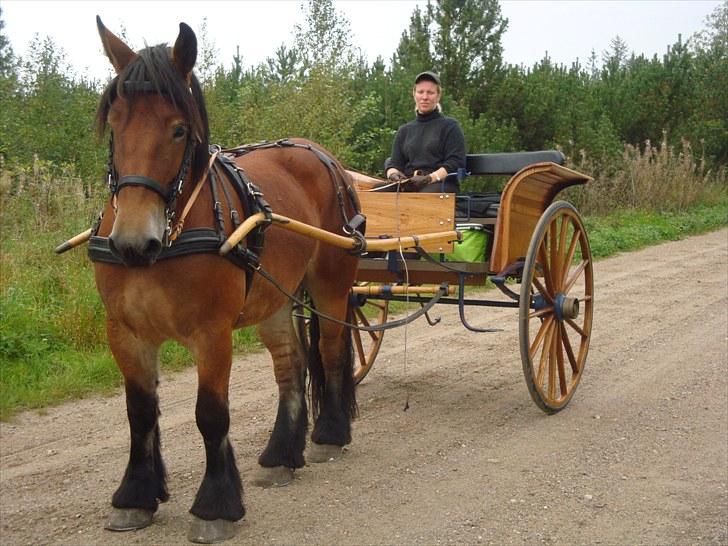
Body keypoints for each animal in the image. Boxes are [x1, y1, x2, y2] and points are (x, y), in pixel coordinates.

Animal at [92, 17, 360, 540]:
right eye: (115, 124)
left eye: (178, 130)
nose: (132, 243)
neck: (170, 236)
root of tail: (323, 157)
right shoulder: (125, 332)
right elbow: (139, 413)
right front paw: (136, 496)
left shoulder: (212, 332)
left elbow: (210, 415)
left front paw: (215, 505)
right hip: (274, 297)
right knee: (292, 365)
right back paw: (281, 455)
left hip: (331, 286)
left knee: (332, 351)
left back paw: (329, 434)